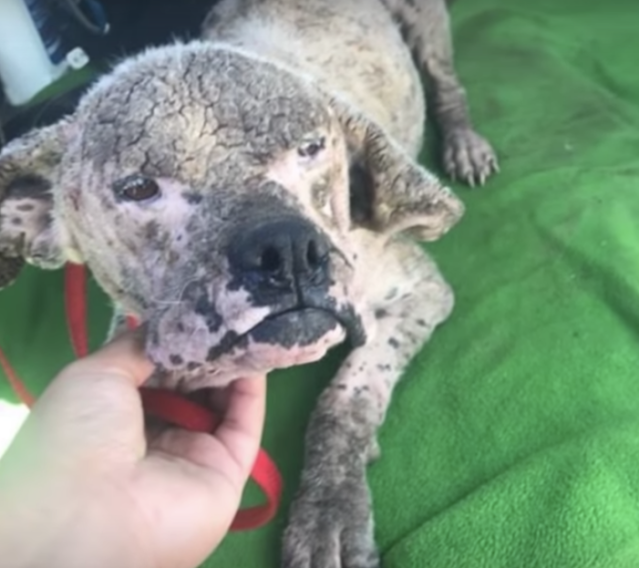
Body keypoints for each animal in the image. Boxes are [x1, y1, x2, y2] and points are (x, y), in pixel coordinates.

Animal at [0, 0, 497, 565]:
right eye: (138, 187)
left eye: (310, 148)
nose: (288, 251)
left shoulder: (421, 292)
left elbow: (346, 398)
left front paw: (331, 505)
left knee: (446, 82)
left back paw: (464, 142)